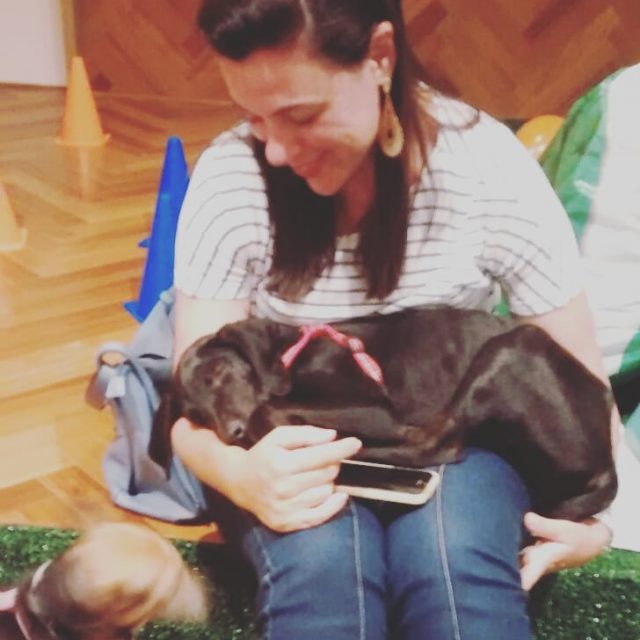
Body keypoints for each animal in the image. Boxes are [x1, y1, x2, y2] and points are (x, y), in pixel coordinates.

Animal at [149, 306, 618, 521]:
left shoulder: (376, 408)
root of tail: (607, 468)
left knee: (432, 443)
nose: (234, 433)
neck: (291, 354)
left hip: (511, 349)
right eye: (195, 415)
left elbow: (271, 407)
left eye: (218, 373)